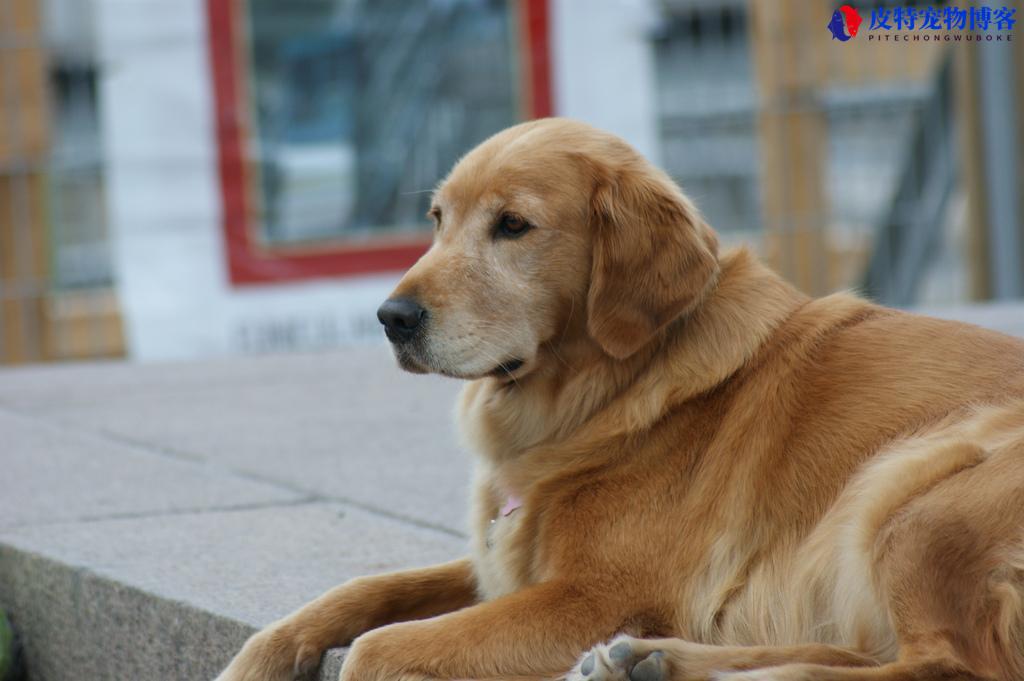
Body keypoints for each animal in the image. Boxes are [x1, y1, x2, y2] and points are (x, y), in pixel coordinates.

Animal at [216, 118, 1024, 679]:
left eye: (513, 226)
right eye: (438, 220)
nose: (391, 317)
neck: (606, 397)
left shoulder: (593, 595)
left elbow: (377, 647)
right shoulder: (501, 563)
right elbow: (357, 593)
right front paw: (259, 658)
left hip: (914, 488)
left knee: (947, 666)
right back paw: (655, 660)